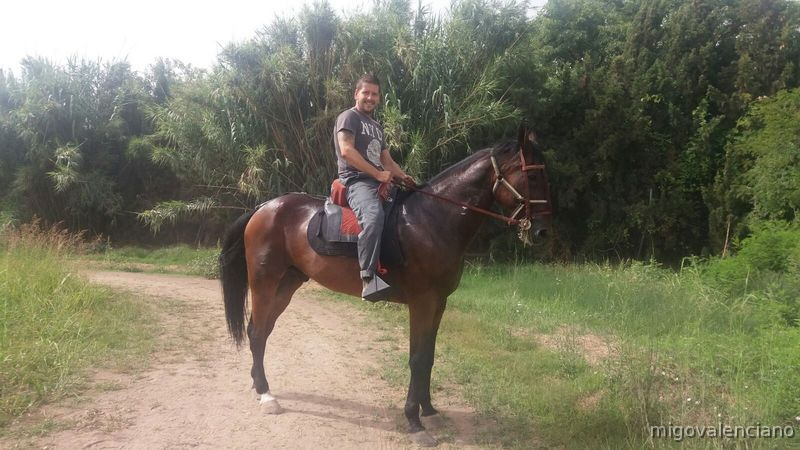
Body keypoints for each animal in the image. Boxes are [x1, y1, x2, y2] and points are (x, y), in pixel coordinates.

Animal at [219, 123, 552, 447]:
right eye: (533, 175)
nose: (542, 232)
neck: (432, 220)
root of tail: (263, 207)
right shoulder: (422, 302)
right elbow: (417, 359)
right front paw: (414, 421)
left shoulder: (439, 303)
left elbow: (429, 357)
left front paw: (429, 411)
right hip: (265, 283)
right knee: (257, 332)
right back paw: (266, 395)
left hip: (287, 285)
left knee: (261, 332)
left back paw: (259, 386)